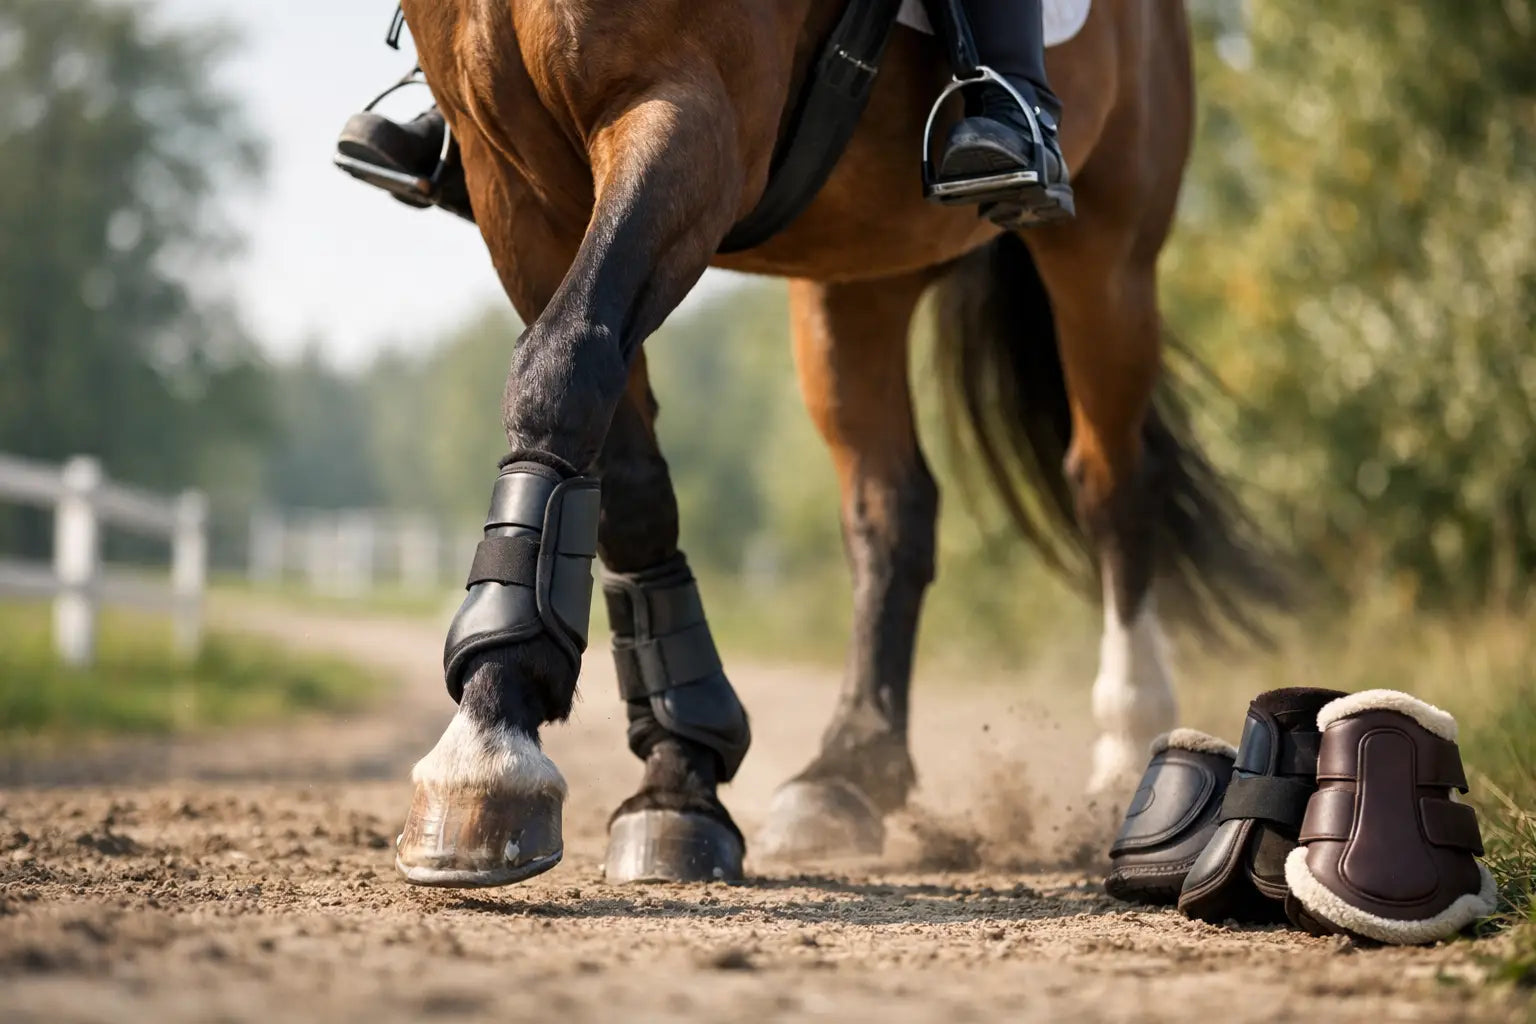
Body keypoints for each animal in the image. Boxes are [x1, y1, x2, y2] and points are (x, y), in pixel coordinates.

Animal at [391, 0, 1283, 887]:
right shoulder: (512, 178)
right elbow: (625, 474)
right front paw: (670, 769)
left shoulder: (688, 112)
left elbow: (565, 360)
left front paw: (493, 741)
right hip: (856, 276)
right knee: (894, 507)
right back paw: (849, 771)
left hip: (1107, 258)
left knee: (1110, 484)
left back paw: (1127, 748)